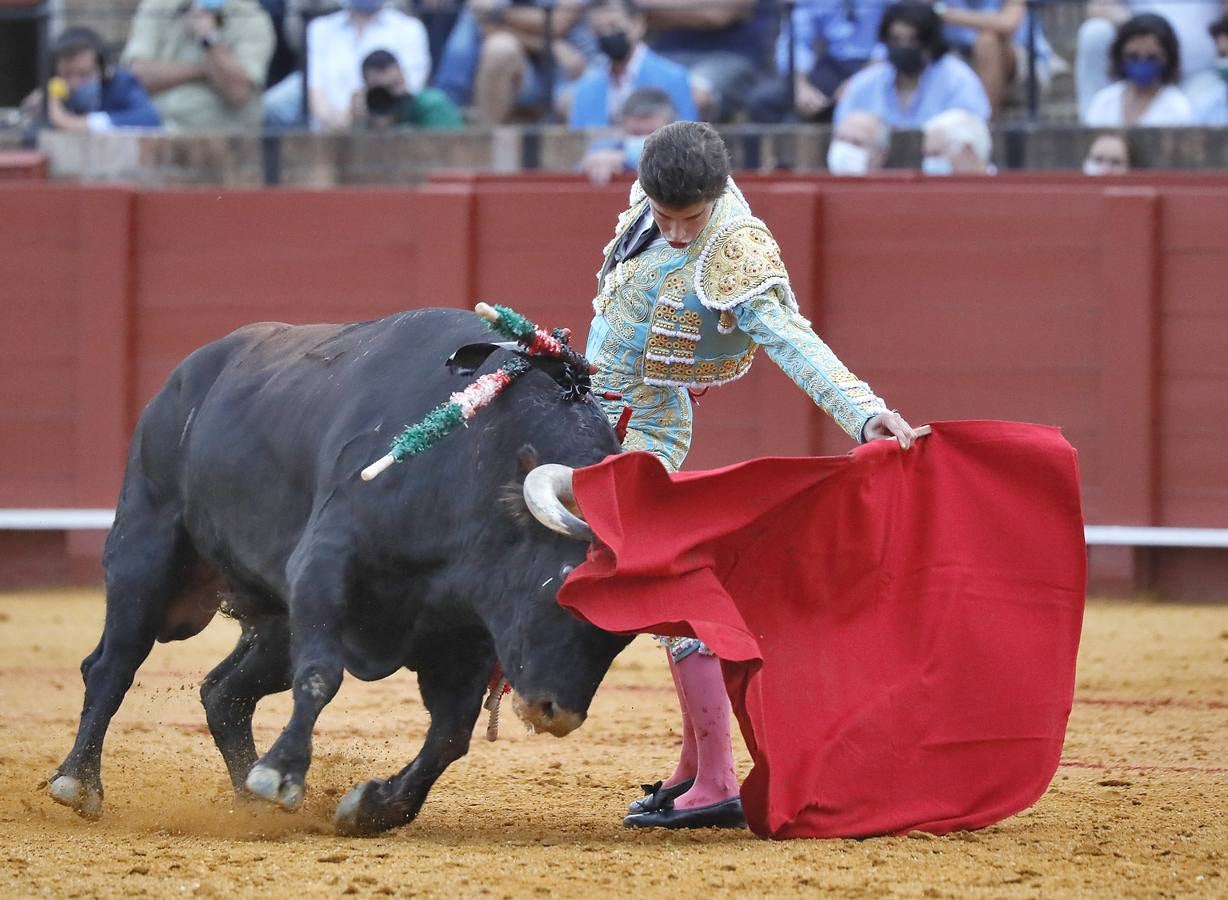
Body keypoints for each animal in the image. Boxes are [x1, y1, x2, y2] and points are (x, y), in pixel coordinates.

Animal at [47, 306, 633, 834]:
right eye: (562, 591)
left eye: (624, 635)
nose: (555, 713)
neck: (478, 458)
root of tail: (183, 377)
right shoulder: (324, 565)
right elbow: (321, 675)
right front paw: (282, 775)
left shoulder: (465, 631)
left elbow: (450, 734)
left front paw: (371, 807)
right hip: (144, 548)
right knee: (112, 664)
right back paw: (78, 782)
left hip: (274, 623)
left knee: (223, 692)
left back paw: (250, 803)